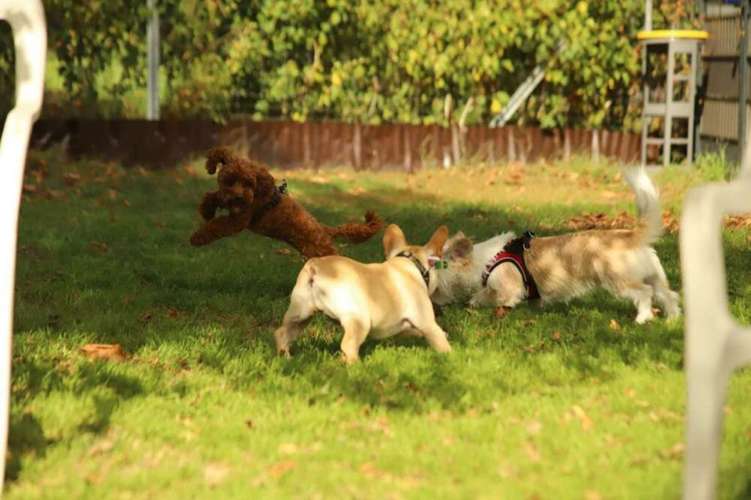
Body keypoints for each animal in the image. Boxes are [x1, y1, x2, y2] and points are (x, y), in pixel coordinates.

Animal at [191, 147, 384, 258]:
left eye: (248, 183)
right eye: (229, 181)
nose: (238, 197)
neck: (258, 192)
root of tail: (325, 230)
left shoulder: (239, 220)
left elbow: (216, 226)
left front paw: (197, 238)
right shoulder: (228, 200)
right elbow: (213, 195)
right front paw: (207, 210)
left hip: (322, 252)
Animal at [276, 225, 452, 362]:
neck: (410, 263)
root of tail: (315, 266)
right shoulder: (428, 324)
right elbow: (440, 340)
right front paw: (450, 356)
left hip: (300, 314)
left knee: (283, 333)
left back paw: (286, 358)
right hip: (359, 320)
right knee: (348, 345)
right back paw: (355, 365)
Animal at [428, 169, 680, 324]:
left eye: (437, 267)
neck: (485, 261)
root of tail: (631, 235)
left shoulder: (507, 289)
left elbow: (489, 297)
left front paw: (476, 303)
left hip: (619, 280)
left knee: (645, 293)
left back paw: (642, 318)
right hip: (655, 276)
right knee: (669, 295)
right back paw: (671, 319)